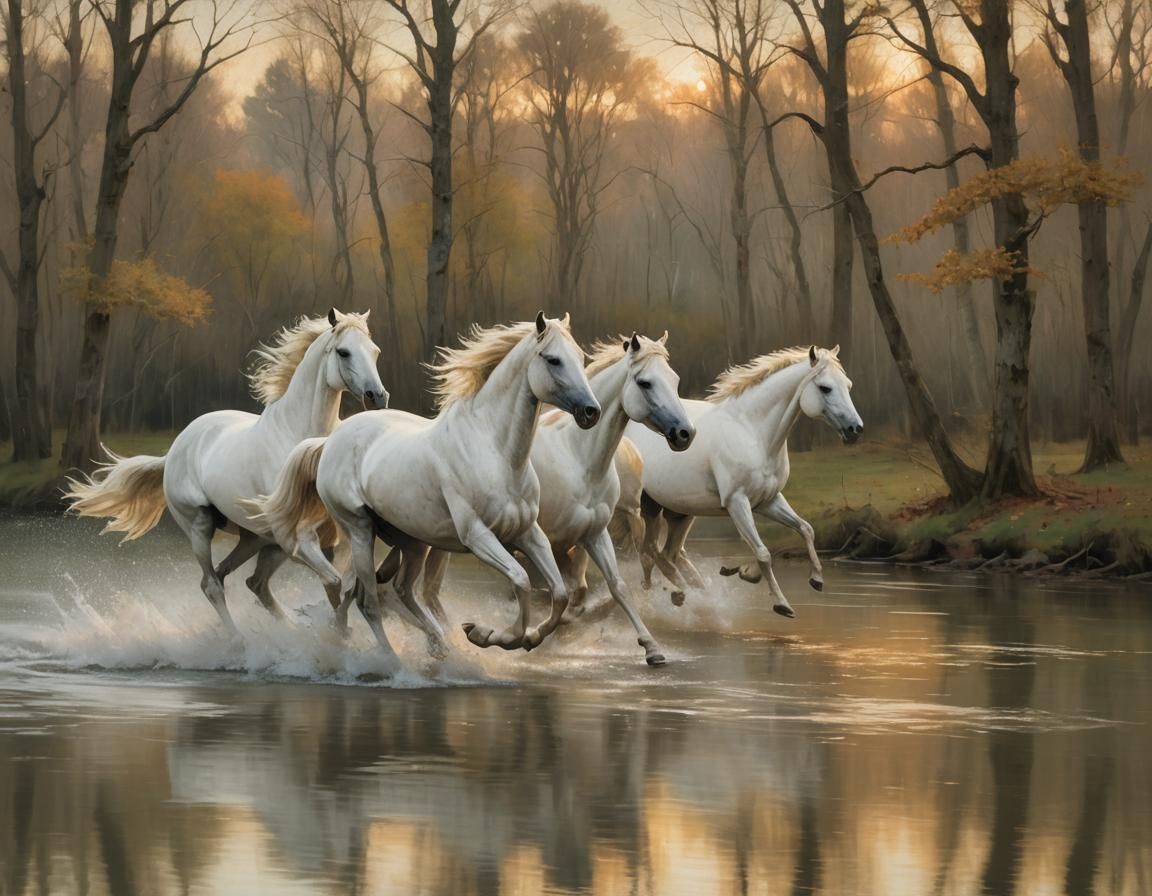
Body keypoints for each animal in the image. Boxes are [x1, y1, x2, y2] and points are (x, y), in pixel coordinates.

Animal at [66, 309, 387, 631]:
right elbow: (334, 582)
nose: (378, 397)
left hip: (256, 539)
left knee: (246, 581)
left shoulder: (335, 536)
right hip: (201, 527)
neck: (300, 441)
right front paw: (339, 634)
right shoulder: (296, 539)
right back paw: (239, 639)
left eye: (375, 351)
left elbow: (344, 585)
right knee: (213, 584)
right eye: (344, 352)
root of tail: (174, 450)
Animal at [253, 313, 601, 667]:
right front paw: (487, 635)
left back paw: (431, 644)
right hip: (360, 530)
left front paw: (521, 638)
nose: (591, 412)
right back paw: (391, 660)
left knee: (393, 589)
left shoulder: (528, 532)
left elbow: (559, 593)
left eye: (580, 357)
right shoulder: (478, 537)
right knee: (367, 599)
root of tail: (330, 441)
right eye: (553, 359)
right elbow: (521, 580)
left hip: (413, 541)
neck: (496, 451)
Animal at [420, 332, 695, 666]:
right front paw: (525, 636)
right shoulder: (551, 541)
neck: (578, 458)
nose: (684, 433)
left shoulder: (589, 535)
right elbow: (561, 593)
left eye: (674, 379)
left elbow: (612, 588)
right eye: (645, 382)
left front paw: (652, 648)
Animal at [626, 345, 862, 618]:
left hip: (679, 512)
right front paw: (781, 603)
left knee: (666, 554)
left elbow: (805, 529)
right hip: (646, 506)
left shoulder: (768, 501)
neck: (752, 432)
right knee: (648, 553)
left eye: (848, 385)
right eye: (825, 388)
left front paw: (815, 579)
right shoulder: (737, 503)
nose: (855, 428)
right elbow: (763, 552)